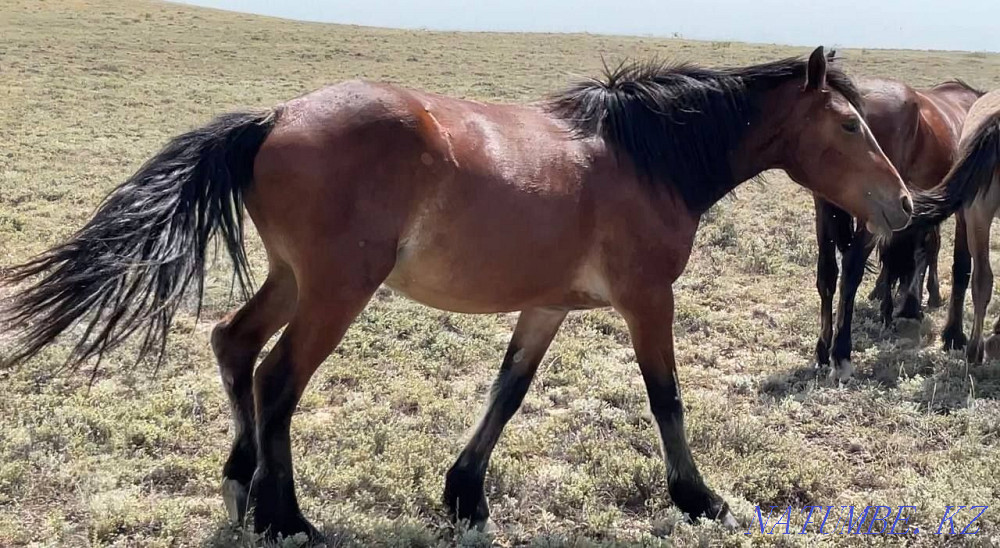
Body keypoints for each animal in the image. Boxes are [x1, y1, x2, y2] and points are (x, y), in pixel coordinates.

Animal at [1, 47, 914, 540]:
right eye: (848, 126)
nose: (904, 203)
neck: (645, 157)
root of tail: (275, 116)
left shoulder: (548, 305)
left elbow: (508, 391)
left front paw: (465, 494)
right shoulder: (648, 300)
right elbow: (667, 399)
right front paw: (697, 497)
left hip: (294, 278)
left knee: (234, 343)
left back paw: (240, 485)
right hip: (335, 289)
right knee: (276, 379)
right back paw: (285, 515)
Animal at [812, 78, 982, 380]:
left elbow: (910, 254)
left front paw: (904, 305)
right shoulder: (963, 207)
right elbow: (959, 265)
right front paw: (952, 334)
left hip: (829, 207)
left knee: (828, 273)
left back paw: (823, 348)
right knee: (851, 269)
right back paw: (841, 352)